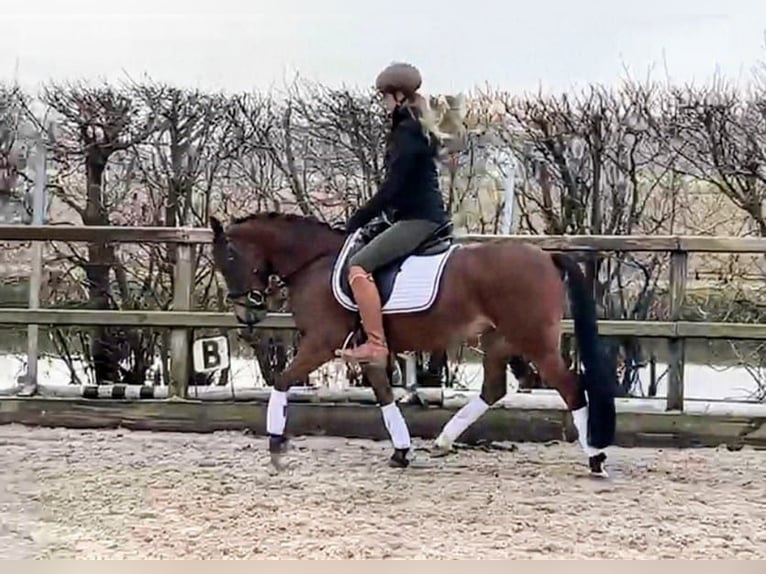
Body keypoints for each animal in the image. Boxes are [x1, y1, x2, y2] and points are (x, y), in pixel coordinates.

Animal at [208, 212, 616, 476]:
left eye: (228, 256)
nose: (247, 315)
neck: (315, 262)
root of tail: (546, 256)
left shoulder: (321, 343)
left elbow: (281, 381)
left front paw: (277, 448)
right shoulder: (367, 350)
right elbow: (384, 394)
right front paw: (402, 451)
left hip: (534, 340)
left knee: (570, 387)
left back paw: (595, 457)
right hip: (498, 339)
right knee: (495, 388)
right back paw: (443, 442)